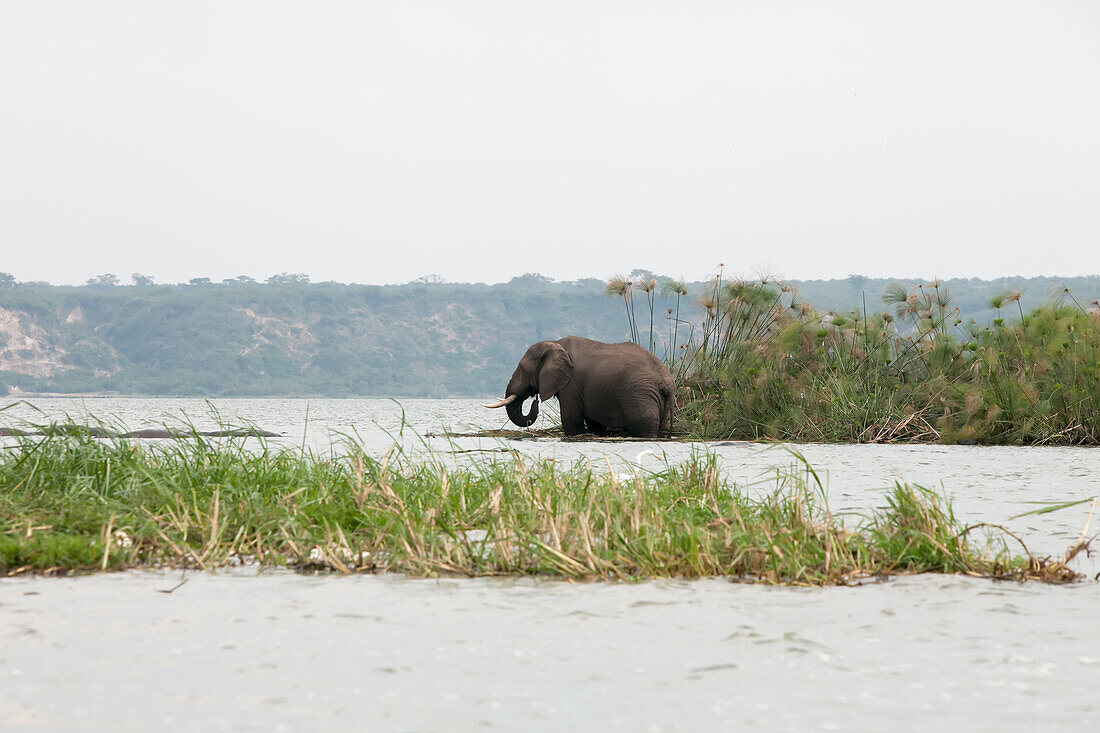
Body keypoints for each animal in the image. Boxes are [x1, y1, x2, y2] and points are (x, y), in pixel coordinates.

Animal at [486, 334, 673, 435]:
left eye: (522, 368)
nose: (535, 401)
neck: (555, 342)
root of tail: (668, 382)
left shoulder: (572, 384)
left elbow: (571, 420)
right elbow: (594, 422)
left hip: (640, 395)